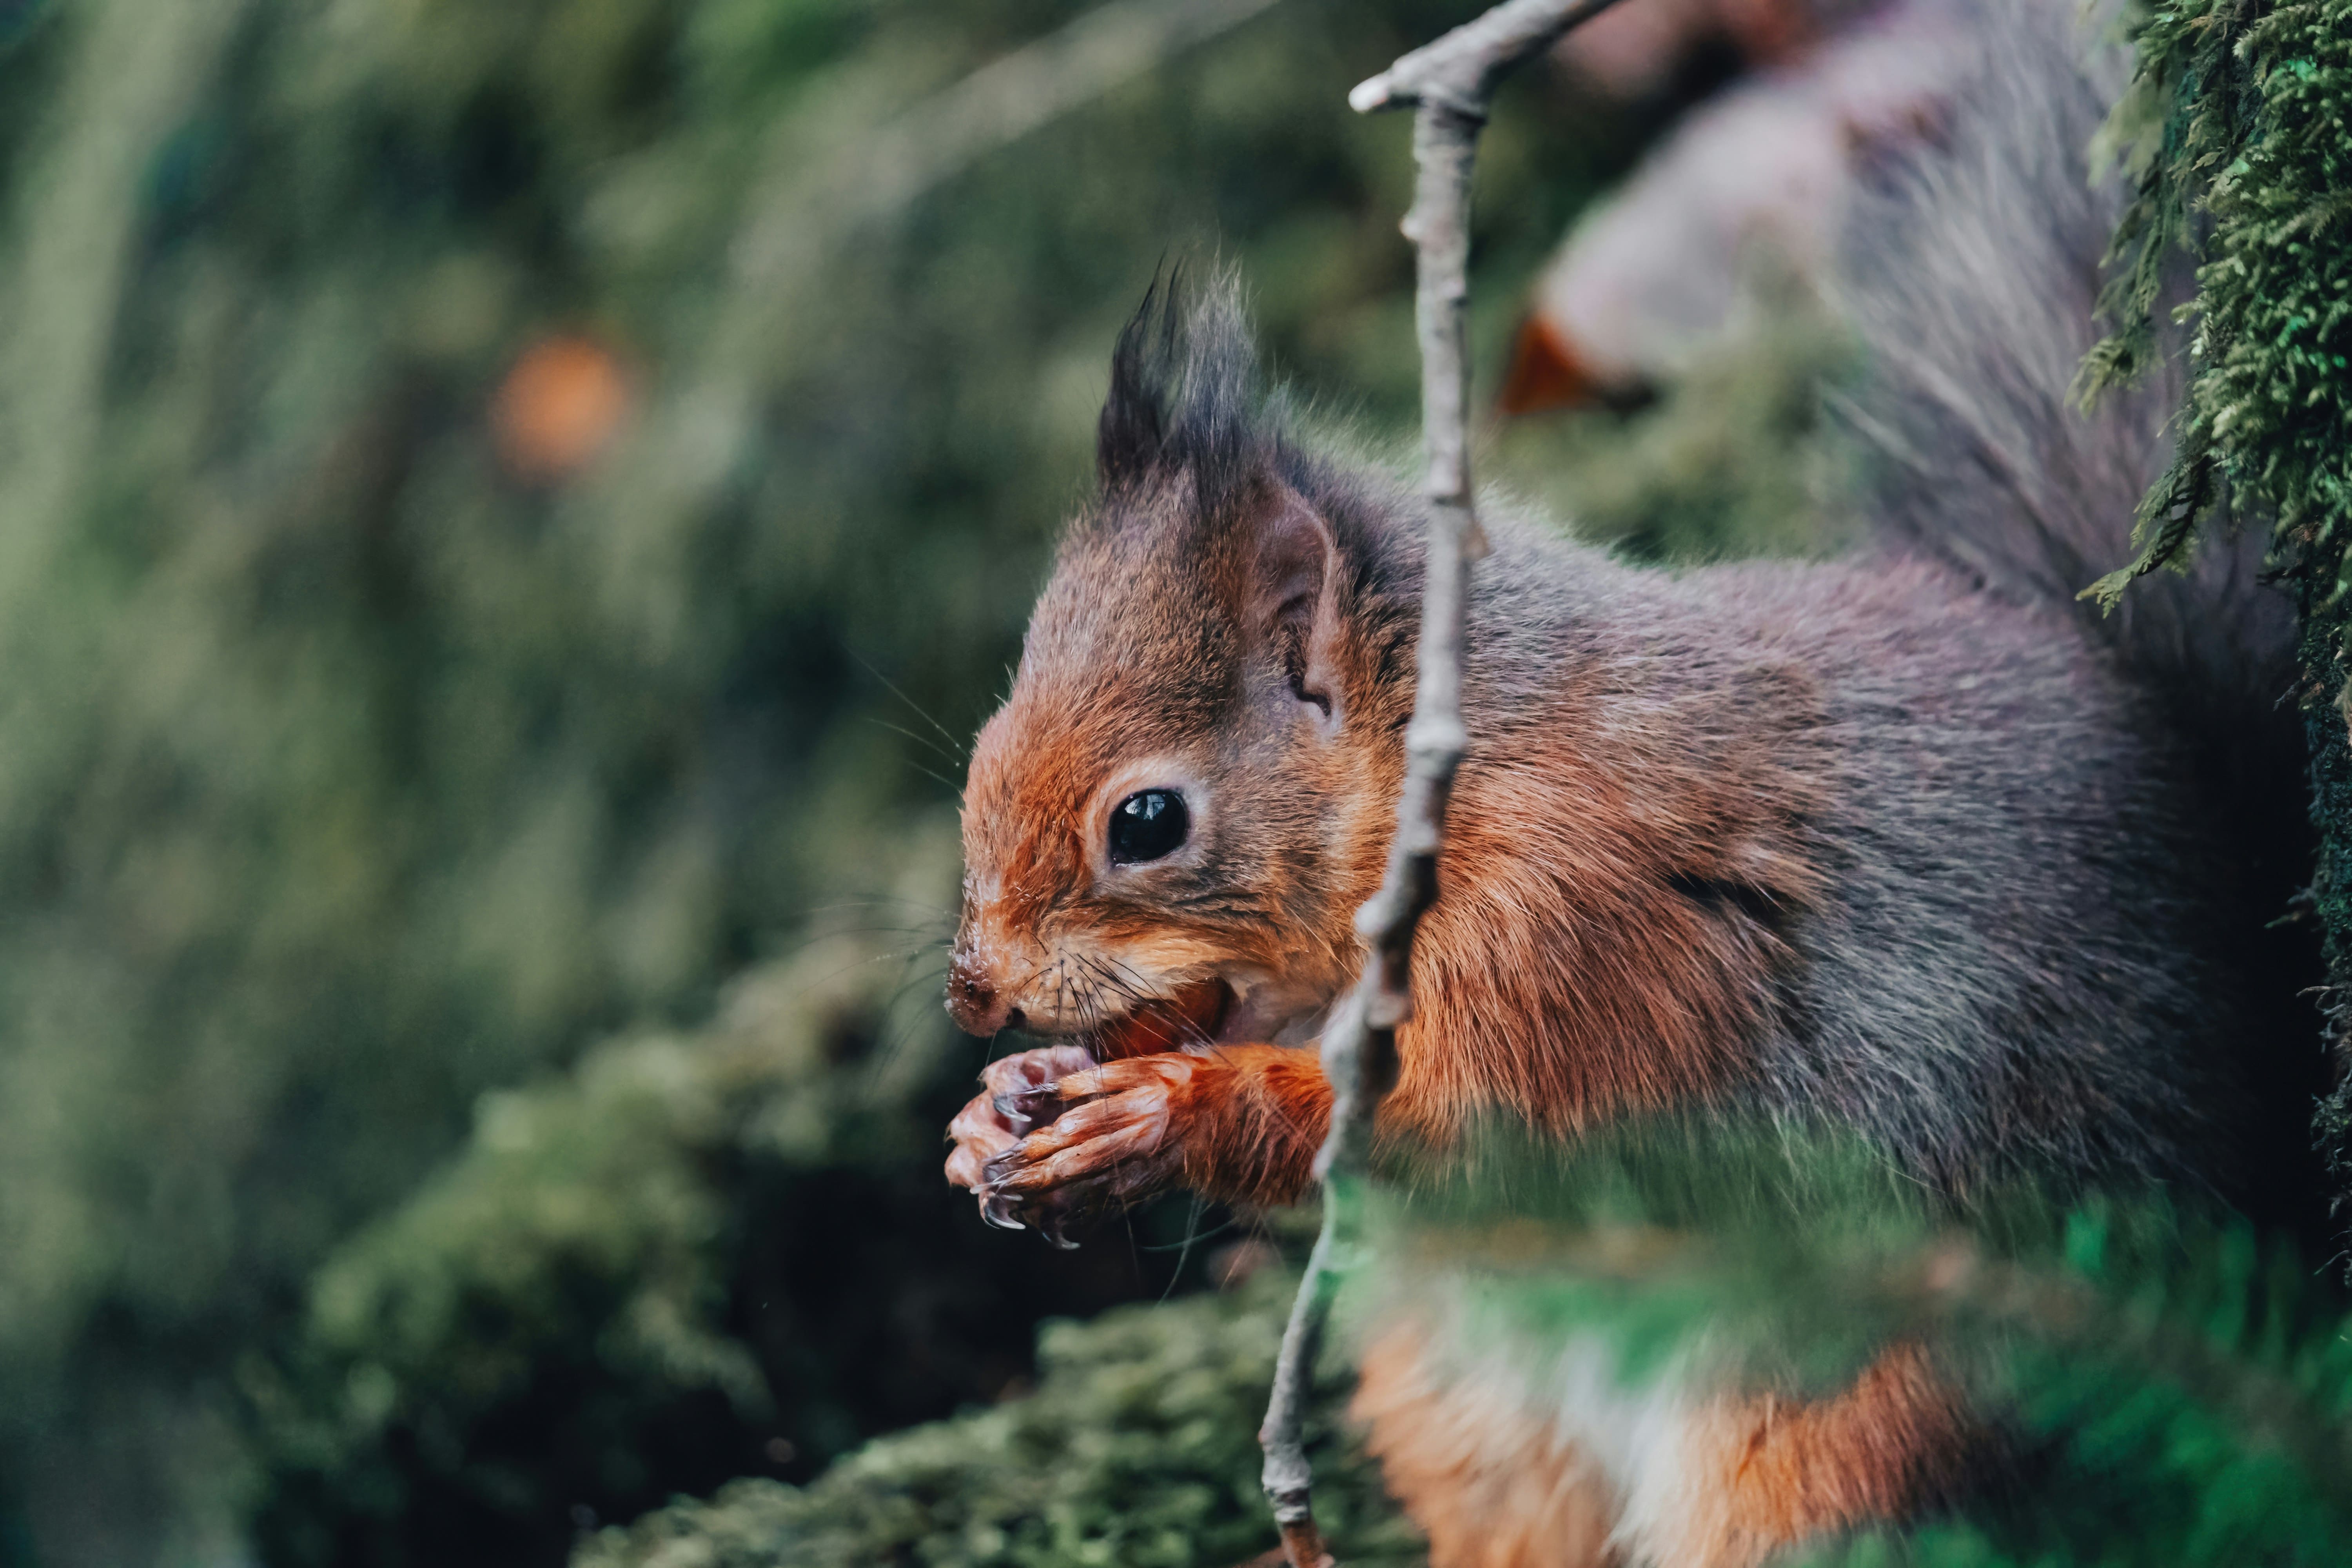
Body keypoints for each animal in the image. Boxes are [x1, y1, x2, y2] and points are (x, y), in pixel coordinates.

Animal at [927, 0, 2305, 1561]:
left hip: (1855, 1429)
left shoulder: (1583, 929)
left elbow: (1461, 1136)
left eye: (1146, 819)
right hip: (1473, 1420)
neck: (1457, 783)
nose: (972, 988)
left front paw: (1159, 1111)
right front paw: (1006, 1101)